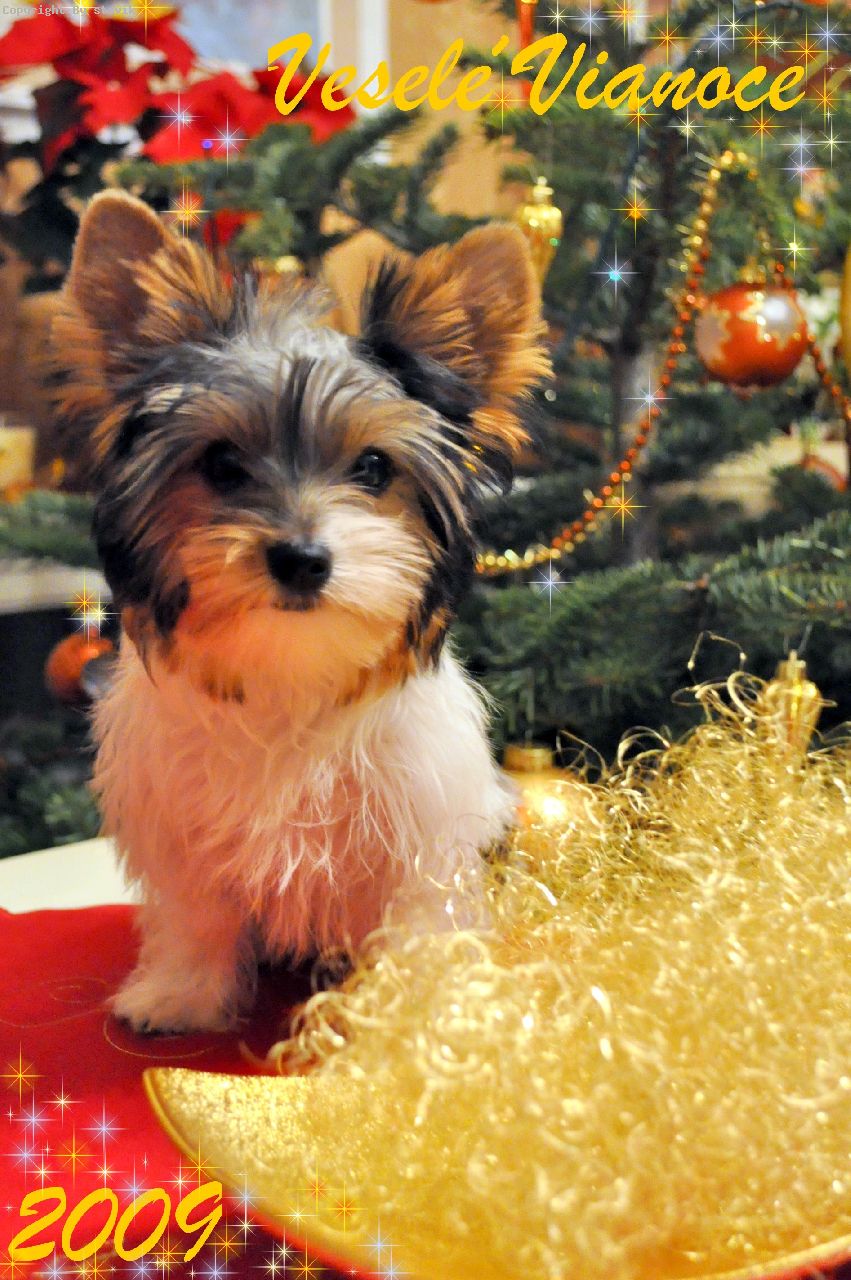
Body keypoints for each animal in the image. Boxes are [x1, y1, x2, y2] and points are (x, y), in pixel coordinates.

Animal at [53, 191, 549, 1033]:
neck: (291, 665)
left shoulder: (420, 830)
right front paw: (181, 993)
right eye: (221, 463)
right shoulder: (182, 826)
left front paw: (412, 1009)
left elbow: (415, 917)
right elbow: (196, 913)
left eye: (373, 467)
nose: (301, 558)